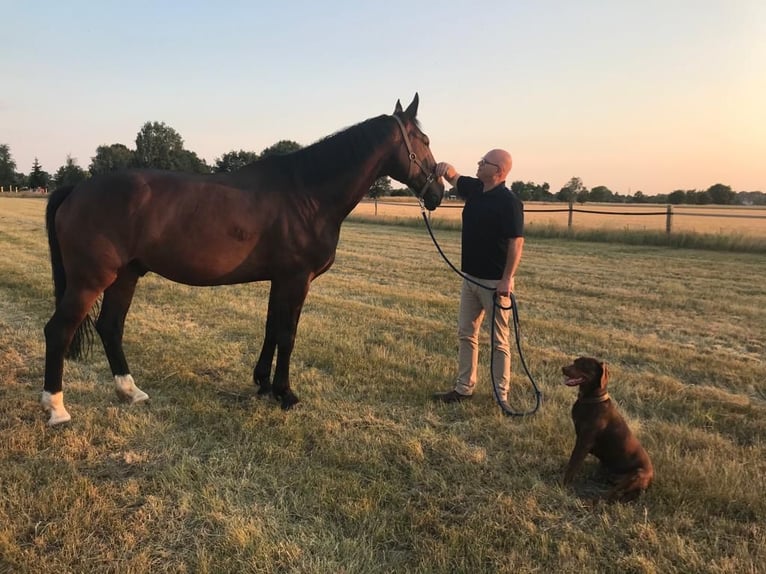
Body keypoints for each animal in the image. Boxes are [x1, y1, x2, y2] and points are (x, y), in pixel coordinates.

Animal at [42, 95, 448, 428]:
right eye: (425, 141)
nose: (439, 193)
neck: (307, 194)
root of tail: (77, 189)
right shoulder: (296, 279)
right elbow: (287, 334)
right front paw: (286, 393)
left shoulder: (280, 280)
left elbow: (271, 329)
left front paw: (263, 384)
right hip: (89, 281)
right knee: (58, 330)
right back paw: (57, 409)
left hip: (126, 276)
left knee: (110, 327)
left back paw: (130, 392)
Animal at [564, 358, 656, 502]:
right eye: (575, 361)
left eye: (584, 364)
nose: (563, 368)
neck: (592, 400)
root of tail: (650, 480)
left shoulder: (584, 442)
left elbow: (573, 465)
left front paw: (563, 484)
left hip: (636, 475)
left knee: (612, 494)